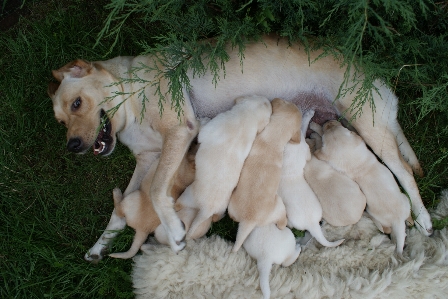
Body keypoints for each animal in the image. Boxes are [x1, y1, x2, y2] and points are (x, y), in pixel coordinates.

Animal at [174, 95, 272, 240]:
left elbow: (203, 129)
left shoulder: (212, 126)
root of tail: (207, 209)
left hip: (188, 195)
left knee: (178, 204)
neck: (247, 116)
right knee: (216, 218)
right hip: (221, 209)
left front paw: (204, 120)